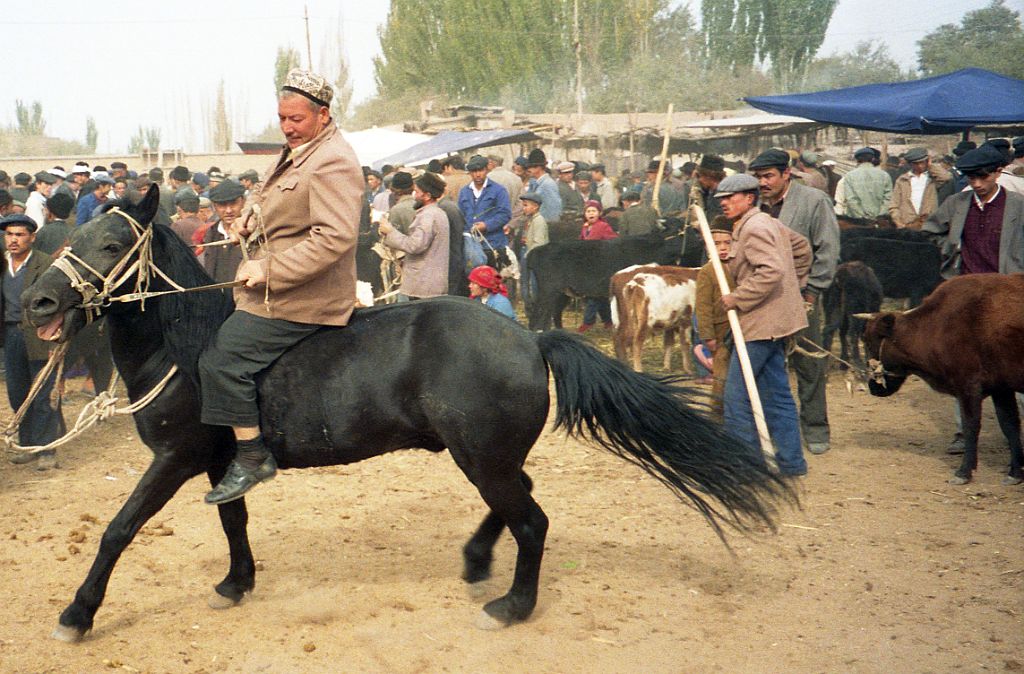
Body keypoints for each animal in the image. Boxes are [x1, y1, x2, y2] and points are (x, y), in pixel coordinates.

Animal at [22, 183, 790, 639]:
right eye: (73, 237)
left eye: (112, 245)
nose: (36, 301)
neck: (186, 343)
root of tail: (529, 335)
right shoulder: (218, 462)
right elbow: (233, 521)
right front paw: (236, 583)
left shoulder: (176, 458)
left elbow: (118, 531)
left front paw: (77, 612)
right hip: (486, 453)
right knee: (518, 500)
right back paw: (479, 558)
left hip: (481, 454)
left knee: (533, 519)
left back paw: (512, 605)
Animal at [864, 272, 1024, 483]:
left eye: (869, 342)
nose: (872, 386)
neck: (938, 324)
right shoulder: (1001, 388)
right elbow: (1010, 426)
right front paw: (1015, 473)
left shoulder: (968, 386)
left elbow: (971, 426)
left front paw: (963, 472)